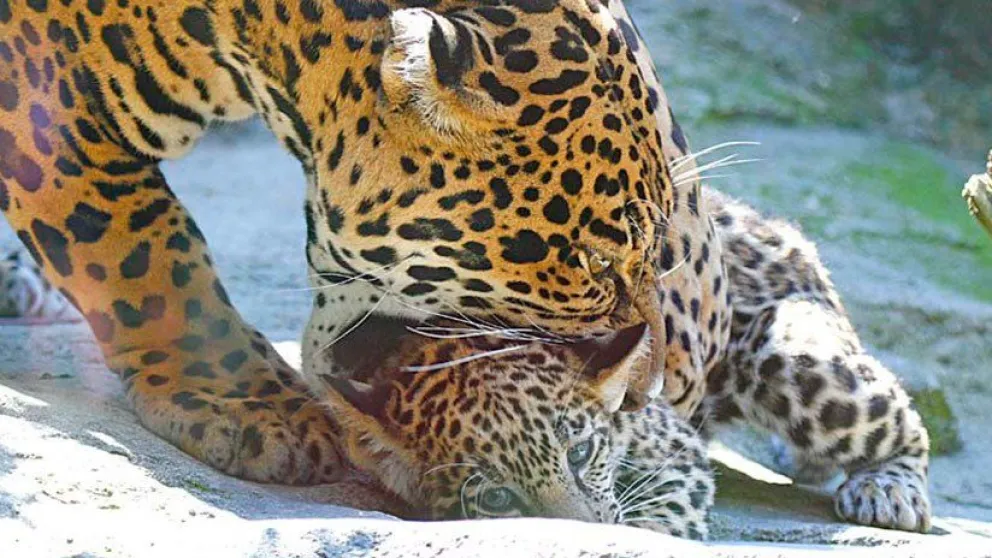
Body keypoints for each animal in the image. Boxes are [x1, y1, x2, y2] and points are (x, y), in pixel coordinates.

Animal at [314, 185, 932, 538]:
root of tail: (758, 218)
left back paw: (887, 493)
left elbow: (659, 515)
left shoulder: (675, 451)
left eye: (581, 453)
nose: (588, 532)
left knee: (904, 424)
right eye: (496, 498)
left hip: (792, 357)